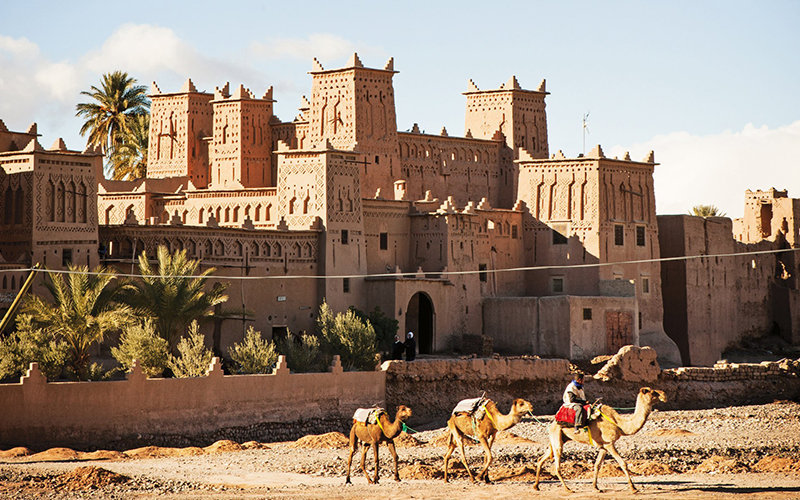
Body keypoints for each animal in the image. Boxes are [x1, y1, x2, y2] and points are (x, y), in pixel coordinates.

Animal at [536, 386, 668, 492]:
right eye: (652, 392)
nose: (664, 394)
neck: (619, 424)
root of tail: (553, 423)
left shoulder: (603, 446)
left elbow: (597, 465)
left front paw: (596, 487)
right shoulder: (610, 443)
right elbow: (623, 463)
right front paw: (633, 488)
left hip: (558, 438)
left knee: (541, 459)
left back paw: (536, 486)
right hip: (557, 437)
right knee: (557, 466)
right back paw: (568, 489)